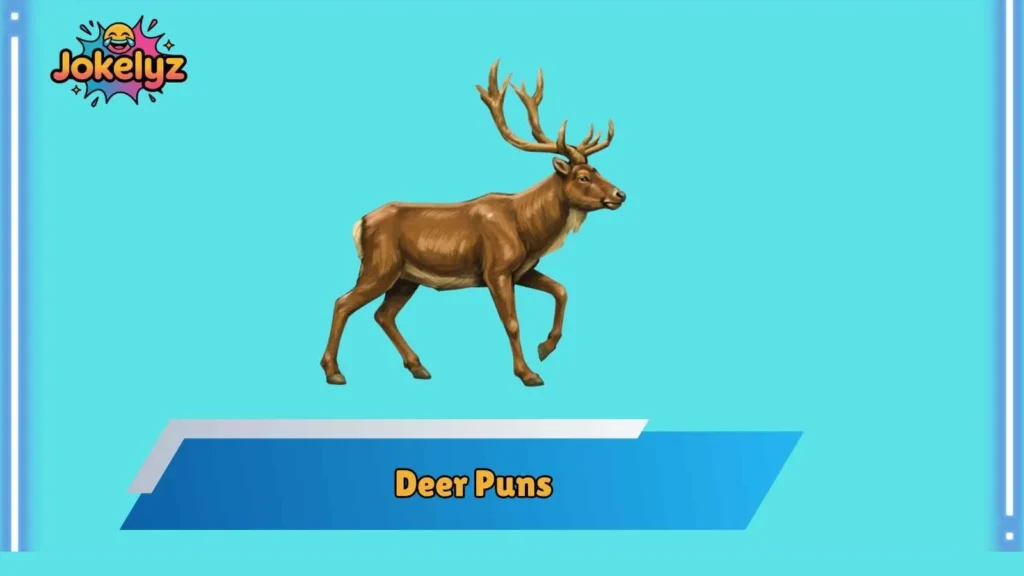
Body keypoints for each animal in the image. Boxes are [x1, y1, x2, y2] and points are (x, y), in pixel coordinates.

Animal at [320, 59, 626, 387]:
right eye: (583, 177)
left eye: (597, 170)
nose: (620, 194)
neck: (528, 230)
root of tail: (360, 223)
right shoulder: (496, 269)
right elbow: (512, 322)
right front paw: (528, 373)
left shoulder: (521, 270)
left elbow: (561, 290)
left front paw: (545, 347)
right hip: (379, 266)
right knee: (343, 303)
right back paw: (334, 371)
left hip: (405, 277)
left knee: (383, 314)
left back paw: (417, 366)